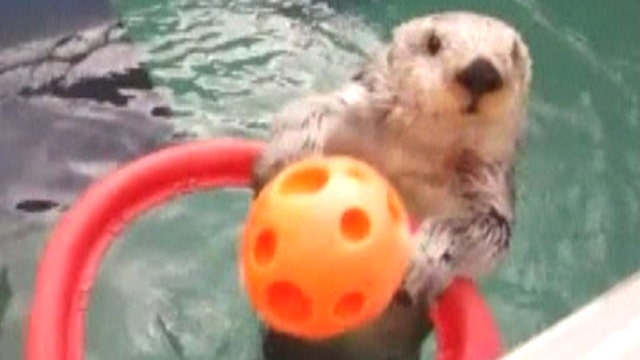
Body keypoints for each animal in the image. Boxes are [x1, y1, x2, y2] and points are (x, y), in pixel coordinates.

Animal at [252, 10, 532, 360]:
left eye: (513, 54)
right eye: (433, 42)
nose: (482, 72)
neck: (421, 147)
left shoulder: (488, 185)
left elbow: (488, 231)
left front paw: (423, 260)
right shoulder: (360, 110)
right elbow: (308, 110)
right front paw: (285, 158)